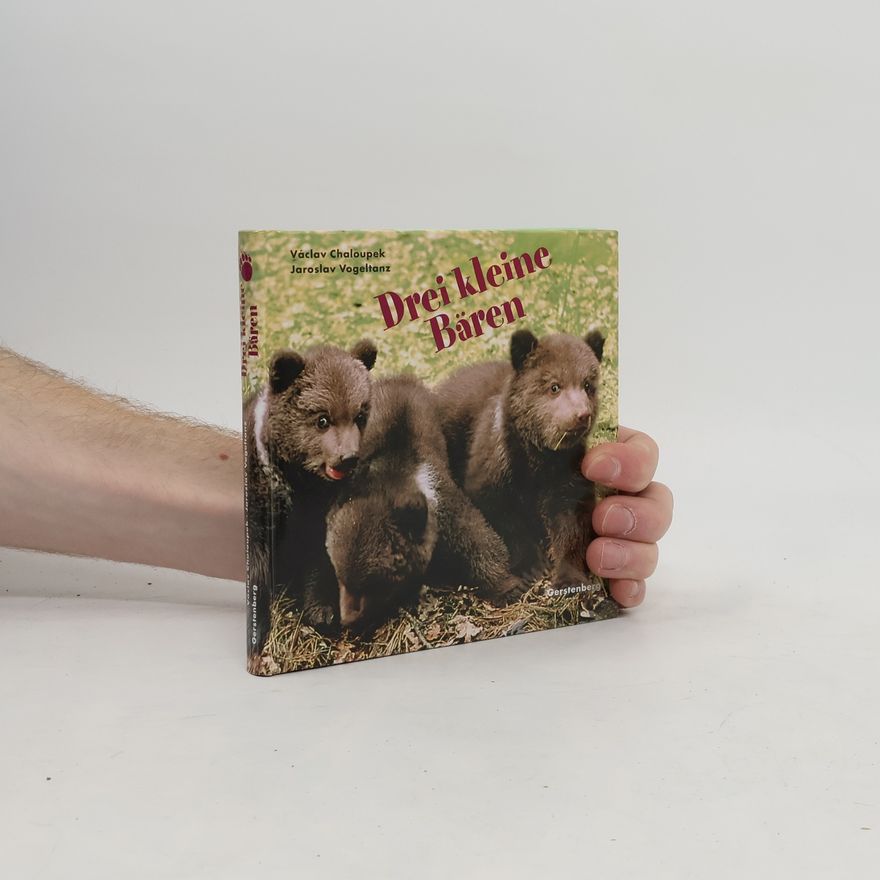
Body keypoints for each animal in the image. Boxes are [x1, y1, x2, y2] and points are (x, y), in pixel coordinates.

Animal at [244, 339, 377, 665]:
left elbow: (319, 556)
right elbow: (257, 565)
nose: (347, 457)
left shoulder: (320, 509)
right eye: (322, 419)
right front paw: (258, 632)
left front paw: (322, 612)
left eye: (359, 415)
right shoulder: (263, 506)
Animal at [324, 375, 523, 635]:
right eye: (340, 577)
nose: (348, 620)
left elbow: (477, 537)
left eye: (371, 584)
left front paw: (510, 585)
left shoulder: (440, 499)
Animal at [435, 329, 606, 595]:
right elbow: (504, 518)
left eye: (588, 385)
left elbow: (572, 522)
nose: (581, 415)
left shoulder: (567, 472)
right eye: (554, 386)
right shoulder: (495, 468)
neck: (539, 458)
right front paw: (532, 566)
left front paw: (569, 578)